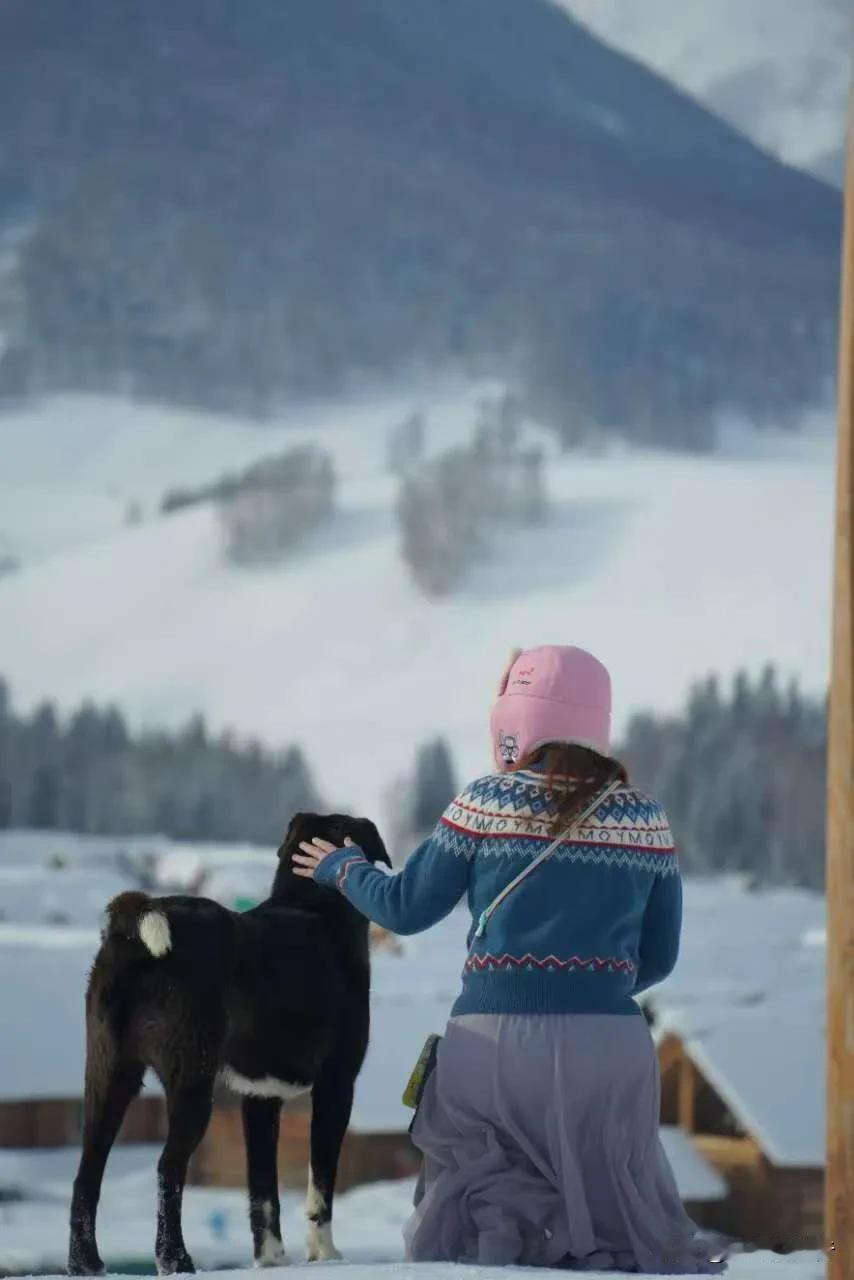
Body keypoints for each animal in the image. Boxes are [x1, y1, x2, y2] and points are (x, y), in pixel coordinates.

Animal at [68, 814, 389, 1274]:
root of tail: (132, 938)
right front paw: (323, 1254)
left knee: (87, 1173)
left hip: (108, 1074)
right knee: (168, 1169)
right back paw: (175, 1259)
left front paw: (271, 1260)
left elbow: (263, 1191)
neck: (311, 904)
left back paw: (86, 1264)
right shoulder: (337, 1084)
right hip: (192, 1081)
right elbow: (321, 1184)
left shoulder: (259, 1098)